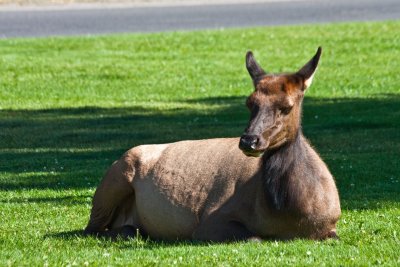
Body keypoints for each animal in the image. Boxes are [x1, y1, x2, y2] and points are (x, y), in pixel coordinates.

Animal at [84, 48, 340, 243]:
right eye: (250, 102)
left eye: (286, 106)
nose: (249, 140)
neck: (290, 215)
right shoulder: (209, 222)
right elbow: (254, 237)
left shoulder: (331, 226)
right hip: (112, 182)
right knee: (92, 229)